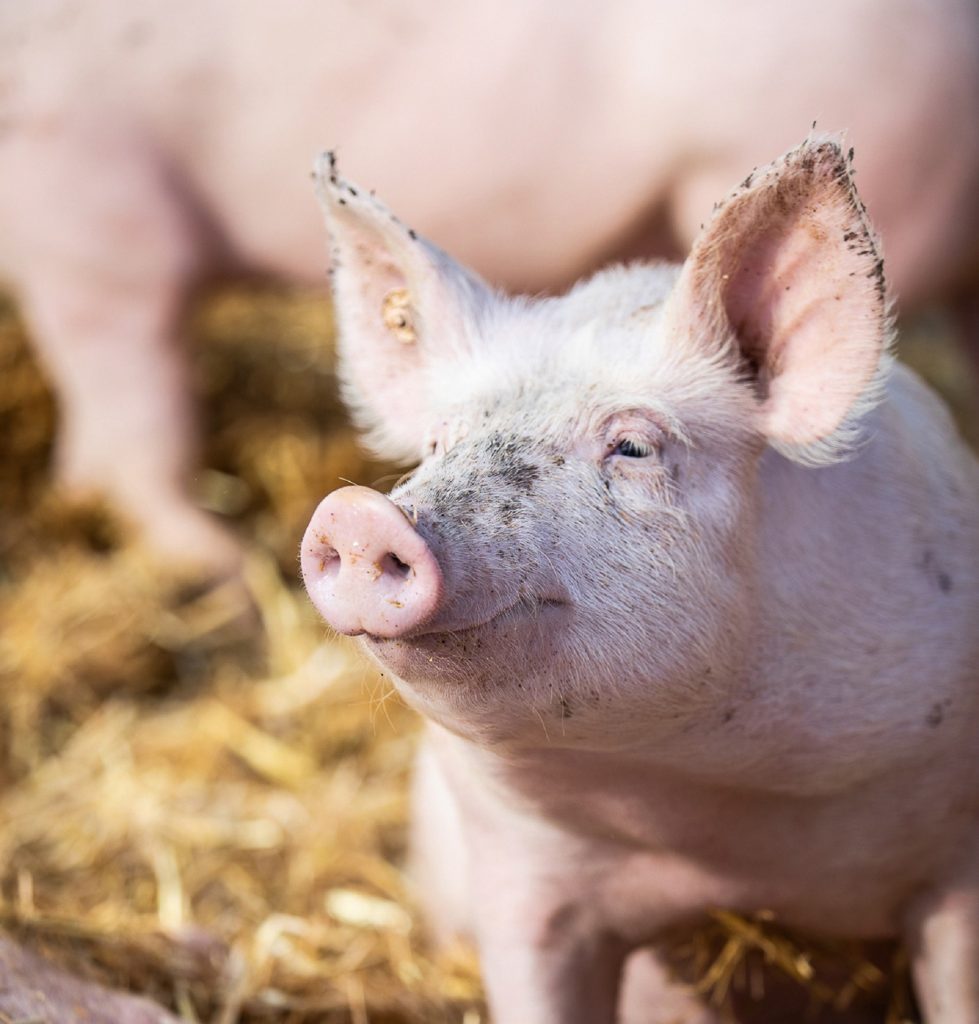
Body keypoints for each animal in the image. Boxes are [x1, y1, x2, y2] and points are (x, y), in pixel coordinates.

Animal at [300, 138, 979, 1024]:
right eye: (440, 441)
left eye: (632, 446)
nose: (358, 514)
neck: (698, 815)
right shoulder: (520, 878)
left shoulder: (956, 864)